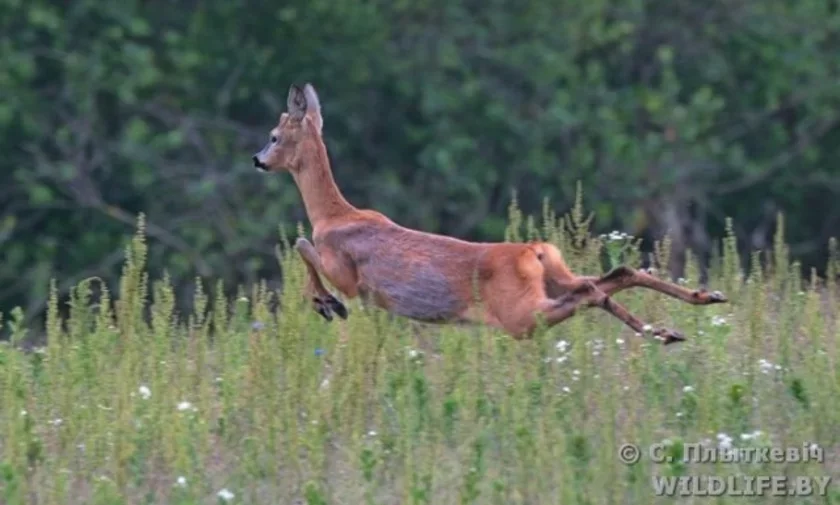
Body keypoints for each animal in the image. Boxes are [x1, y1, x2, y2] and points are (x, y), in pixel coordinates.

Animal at [251, 83, 728, 342]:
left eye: (273, 135)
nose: (257, 160)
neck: (333, 214)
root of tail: (533, 251)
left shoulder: (349, 274)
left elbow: (302, 244)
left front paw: (326, 304)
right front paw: (324, 304)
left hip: (521, 314)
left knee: (591, 293)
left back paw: (665, 331)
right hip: (553, 278)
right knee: (615, 275)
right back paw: (695, 307)